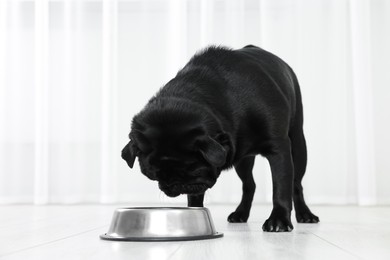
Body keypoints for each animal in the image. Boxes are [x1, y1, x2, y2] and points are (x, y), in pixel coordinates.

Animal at [122, 44, 320, 232]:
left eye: (193, 169)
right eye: (154, 175)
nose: (174, 184)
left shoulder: (278, 149)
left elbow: (281, 187)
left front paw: (278, 220)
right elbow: (196, 197)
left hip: (298, 146)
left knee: (296, 184)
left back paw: (305, 214)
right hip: (243, 162)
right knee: (249, 185)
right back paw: (241, 213)